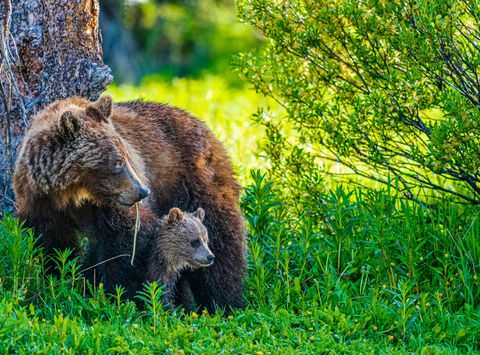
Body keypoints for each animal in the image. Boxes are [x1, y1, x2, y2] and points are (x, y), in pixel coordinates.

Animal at [13, 95, 246, 314]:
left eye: (126, 155)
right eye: (117, 161)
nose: (142, 191)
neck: (71, 194)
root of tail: (203, 125)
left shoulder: (111, 206)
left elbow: (129, 241)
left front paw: (122, 296)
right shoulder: (42, 204)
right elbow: (54, 246)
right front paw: (62, 279)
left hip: (193, 181)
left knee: (222, 239)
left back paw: (225, 303)